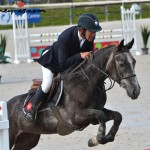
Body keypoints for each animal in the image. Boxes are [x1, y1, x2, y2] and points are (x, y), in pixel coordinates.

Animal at [7, 38, 141, 149]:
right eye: (121, 64)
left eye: (134, 62)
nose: (136, 91)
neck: (89, 81)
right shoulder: (76, 117)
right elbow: (101, 116)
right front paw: (96, 139)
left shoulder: (94, 114)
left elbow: (117, 116)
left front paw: (104, 138)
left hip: (28, 139)